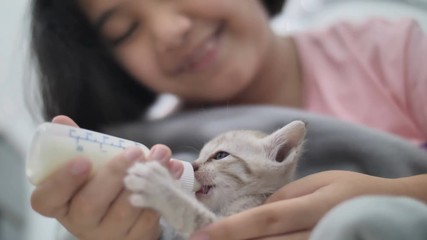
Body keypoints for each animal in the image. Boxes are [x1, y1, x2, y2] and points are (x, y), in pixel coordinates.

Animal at [124, 120, 308, 238]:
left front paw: (158, 186)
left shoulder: (222, 227)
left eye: (220, 155)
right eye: (199, 156)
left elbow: (190, 214)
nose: (193, 165)